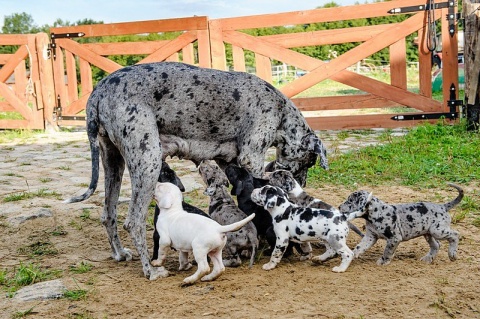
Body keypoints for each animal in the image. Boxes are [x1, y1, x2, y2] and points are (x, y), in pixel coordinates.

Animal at [63, 62, 328, 280]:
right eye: (309, 163)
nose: (302, 186)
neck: (280, 110)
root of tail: (98, 92)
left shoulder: (229, 162)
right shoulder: (251, 157)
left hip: (113, 162)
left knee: (108, 214)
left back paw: (119, 253)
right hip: (147, 161)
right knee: (133, 222)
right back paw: (151, 270)